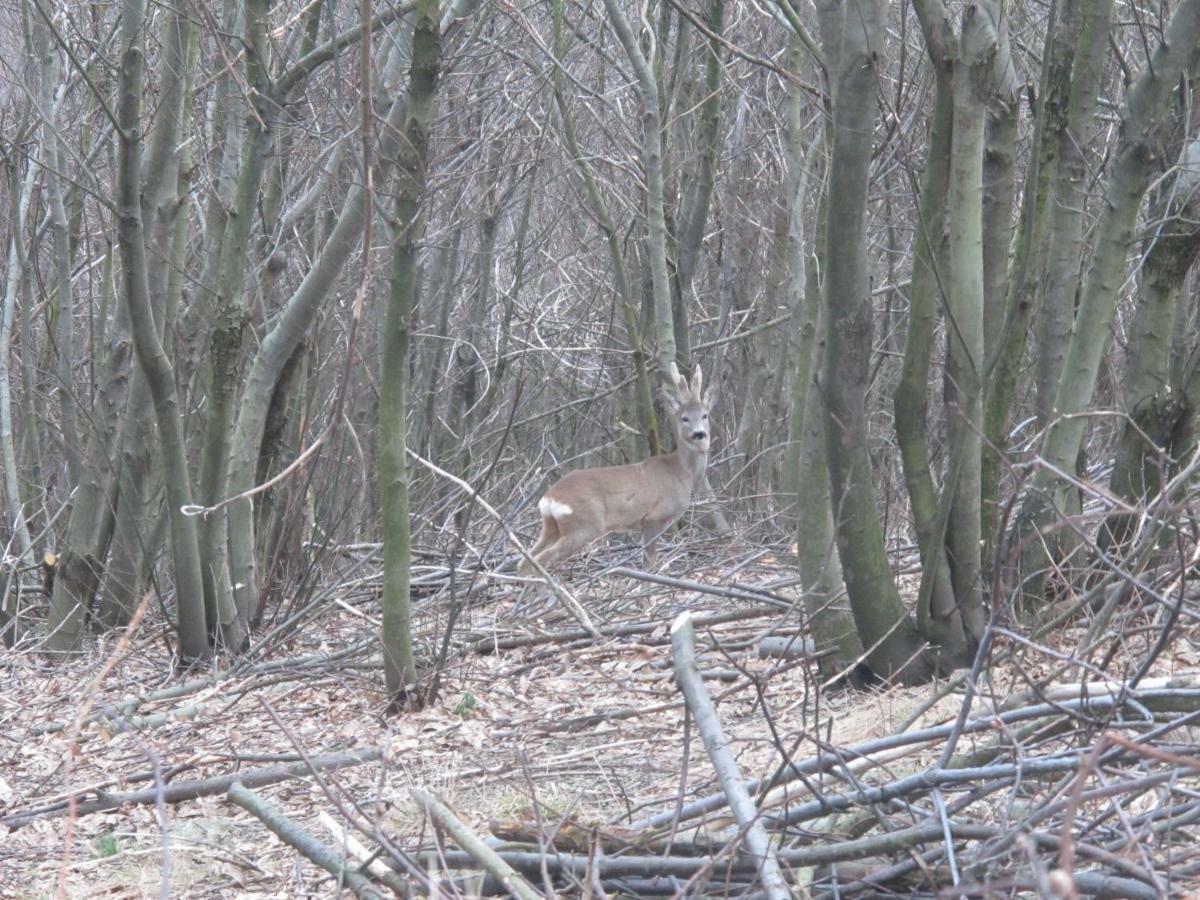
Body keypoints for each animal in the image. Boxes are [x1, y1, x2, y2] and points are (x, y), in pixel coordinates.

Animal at [518, 362, 710, 578]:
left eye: (705, 415)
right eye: (684, 418)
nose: (699, 434)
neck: (682, 473)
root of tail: (550, 498)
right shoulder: (654, 516)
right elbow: (650, 561)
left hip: (551, 525)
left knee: (525, 560)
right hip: (585, 524)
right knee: (543, 558)